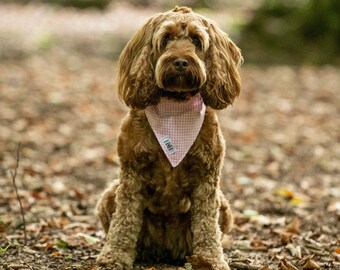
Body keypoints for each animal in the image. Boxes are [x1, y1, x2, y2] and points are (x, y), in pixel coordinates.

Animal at [96, 6, 242, 270]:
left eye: (196, 40)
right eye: (165, 39)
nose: (181, 61)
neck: (175, 108)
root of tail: (164, 248)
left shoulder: (207, 179)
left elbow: (207, 225)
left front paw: (211, 260)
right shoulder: (131, 174)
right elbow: (124, 219)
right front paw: (114, 255)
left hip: (224, 207)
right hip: (110, 194)